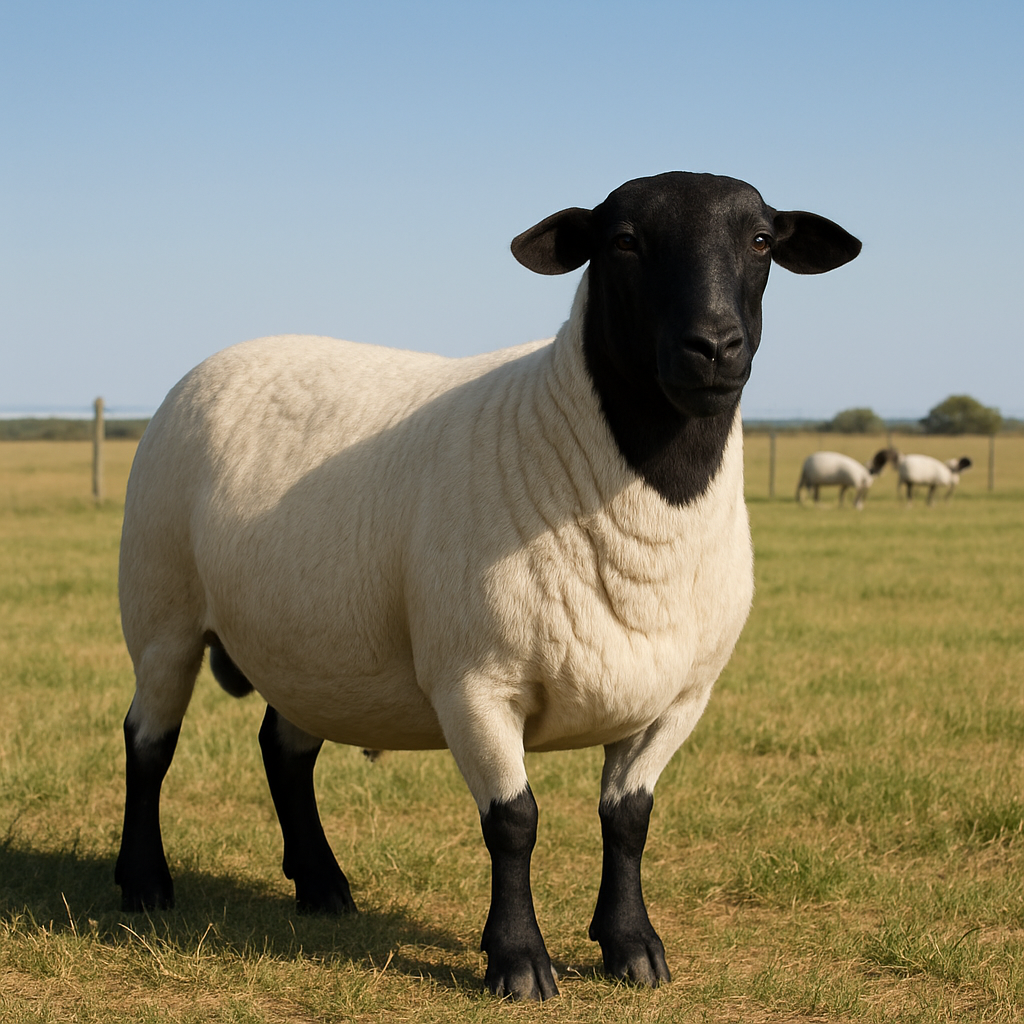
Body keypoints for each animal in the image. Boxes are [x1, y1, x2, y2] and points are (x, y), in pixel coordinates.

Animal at [114, 171, 861, 1001]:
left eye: (761, 241)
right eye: (623, 241)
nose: (714, 347)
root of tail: (226, 354)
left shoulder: (680, 696)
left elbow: (628, 820)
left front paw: (632, 947)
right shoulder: (475, 681)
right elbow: (514, 823)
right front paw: (518, 962)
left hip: (310, 646)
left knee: (284, 749)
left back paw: (322, 886)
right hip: (161, 609)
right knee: (147, 741)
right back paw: (144, 884)